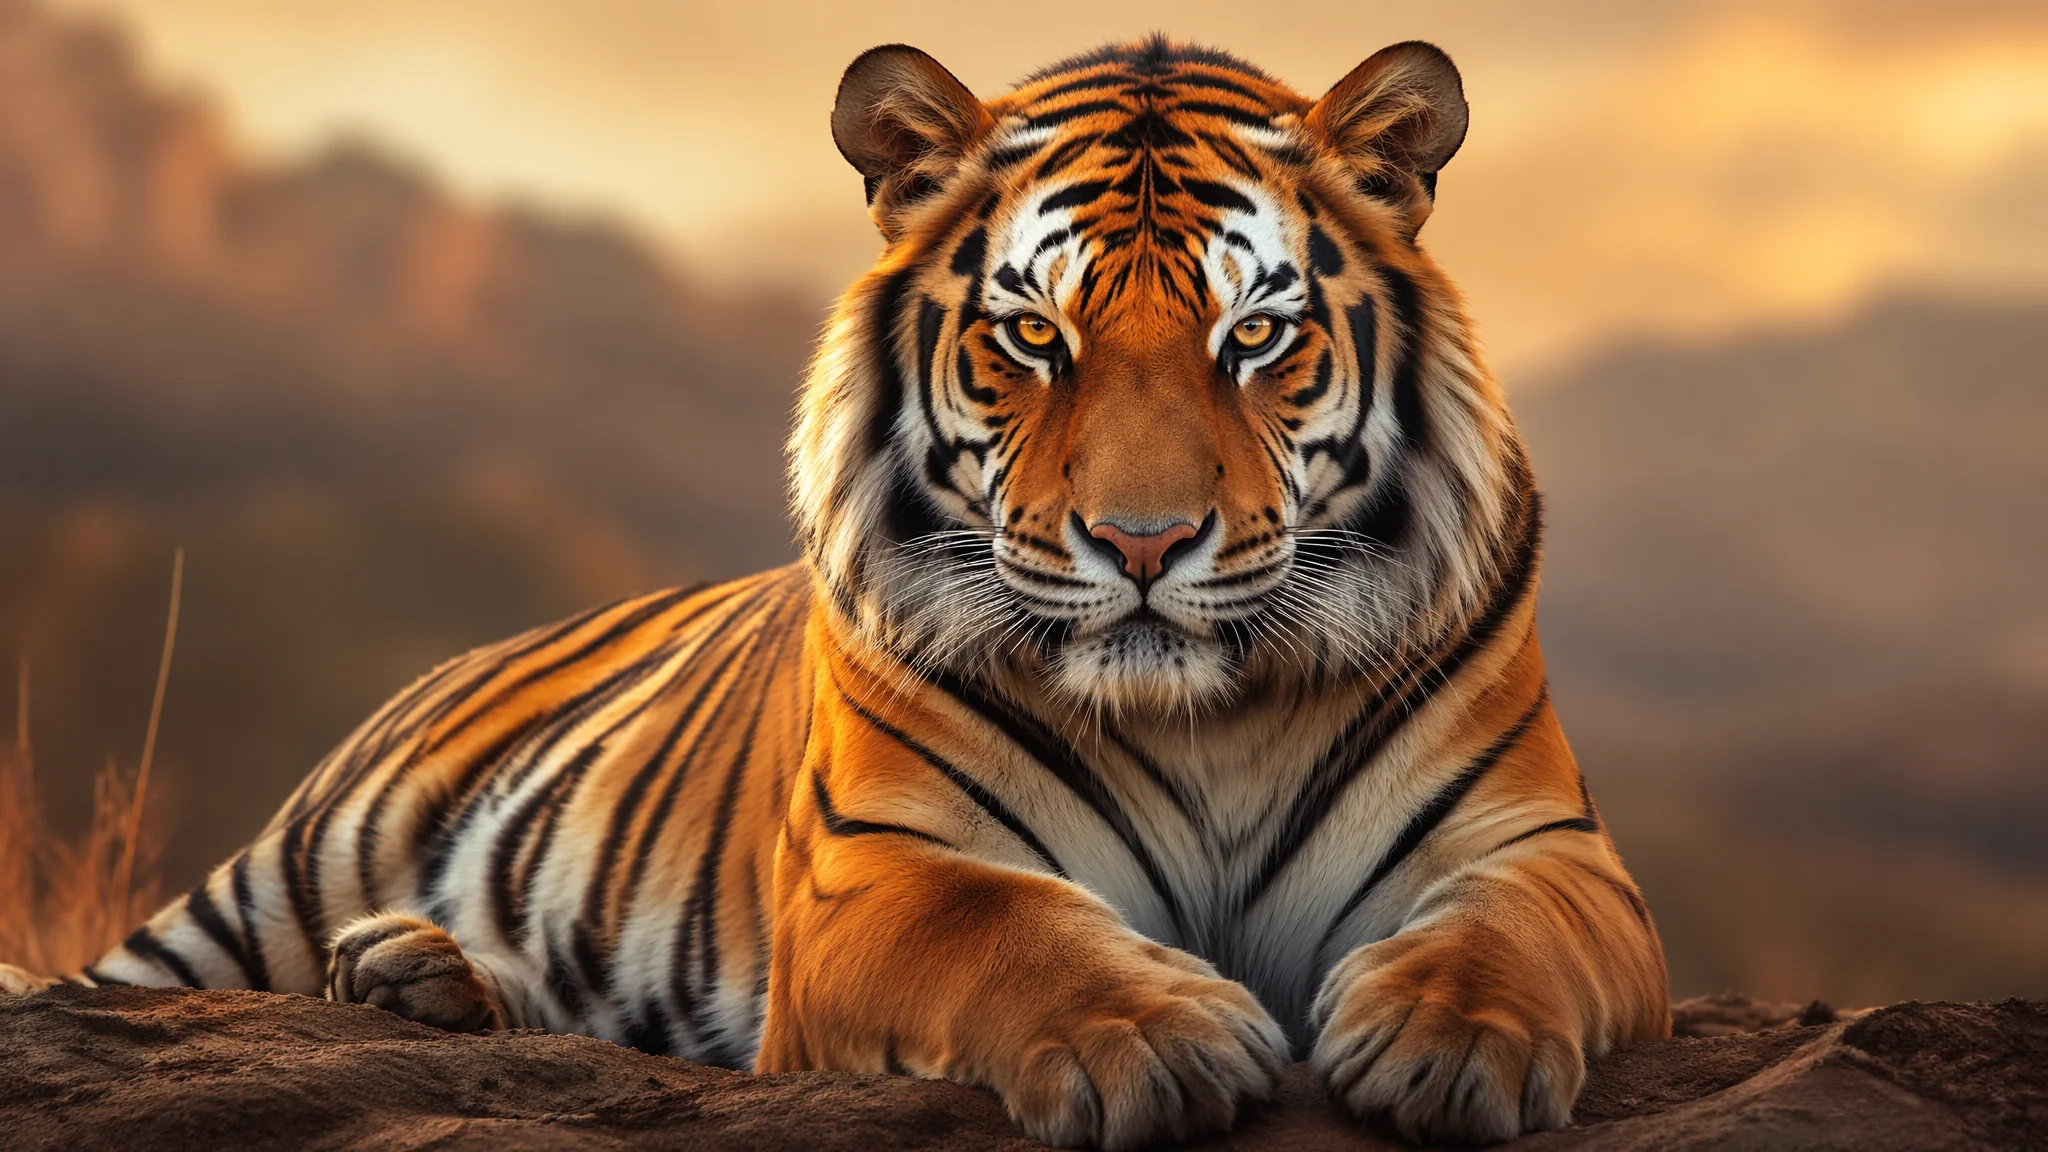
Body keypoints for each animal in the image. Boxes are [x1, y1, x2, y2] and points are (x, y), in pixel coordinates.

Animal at [1, 36, 1670, 1148]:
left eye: (1254, 336)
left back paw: (423, 974)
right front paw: (1162, 1036)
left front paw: (1449, 1039)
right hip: (288, 867)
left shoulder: (1547, 848)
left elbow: (1512, 932)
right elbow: (1011, 932)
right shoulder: (881, 868)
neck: (1200, 723)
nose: (1142, 544)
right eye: (1034, 337)